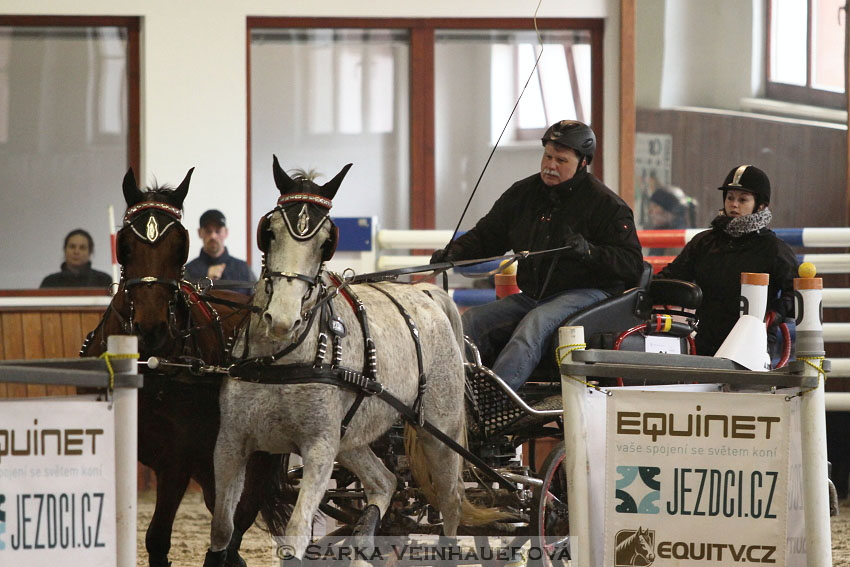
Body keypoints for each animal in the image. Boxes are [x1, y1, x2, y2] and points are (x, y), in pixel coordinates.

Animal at [83, 169, 288, 567]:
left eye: (181, 244)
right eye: (125, 245)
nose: (151, 328)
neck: (150, 366)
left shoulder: (175, 461)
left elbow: (158, 539)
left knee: (236, 521)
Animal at [202, 156, 486, 567]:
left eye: (326, 242)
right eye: (268, 232)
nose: (283, 318)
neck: (283, 360)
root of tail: (426, 292)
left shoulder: (319, 448)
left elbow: (296, 532)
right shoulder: (231, 442)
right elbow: (222, 530)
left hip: (440, 430)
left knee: (451, 502)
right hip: (351, 437)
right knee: (385, 481)